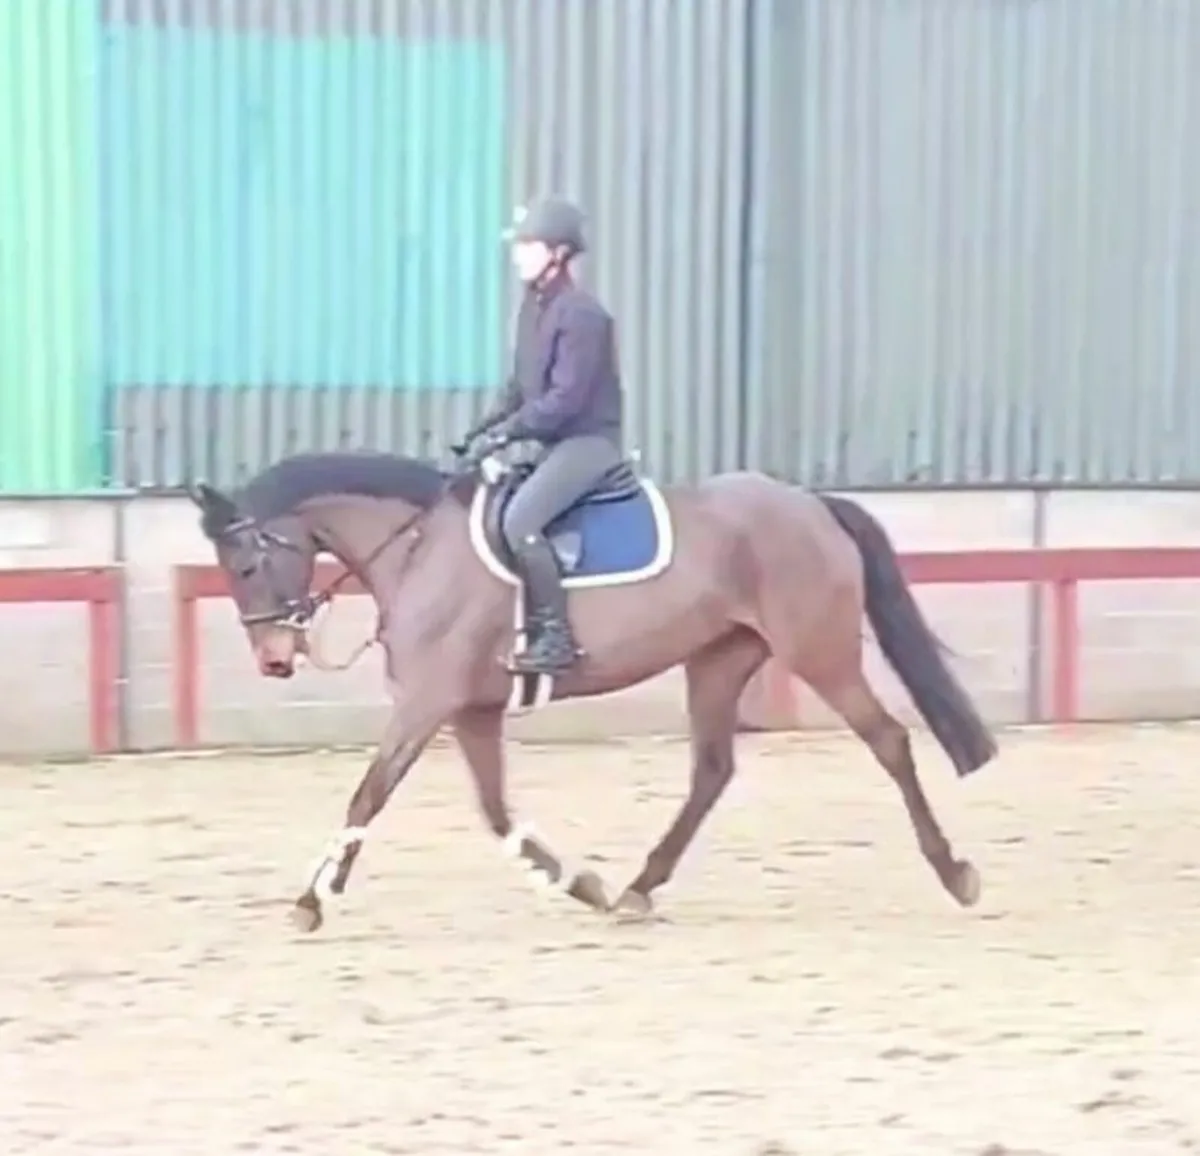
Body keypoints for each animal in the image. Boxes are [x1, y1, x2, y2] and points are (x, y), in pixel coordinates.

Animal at [191, 448, 997, 932]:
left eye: (248, 564)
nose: (273, 660)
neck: (419, 548)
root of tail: (808, 501)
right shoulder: (473, 710)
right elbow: (495, 813)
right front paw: (584, 884)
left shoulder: (427, 703)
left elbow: (369, 795)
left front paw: (309, 901)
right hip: (718, 660)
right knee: (712, 771)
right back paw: (639, 888)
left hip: (818, 652)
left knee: (888, 740)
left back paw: (955, 872)